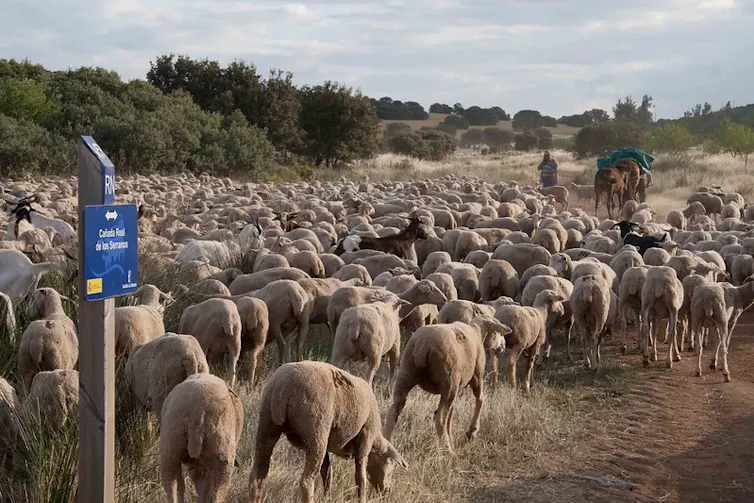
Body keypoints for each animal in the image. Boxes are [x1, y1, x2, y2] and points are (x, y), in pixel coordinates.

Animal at [248, 361, 408, 503]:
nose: (387, 491)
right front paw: (362, 499)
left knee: (257, 476)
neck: (376, 440)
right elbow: (360, 477)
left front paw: (327, 497)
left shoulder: (328, 445)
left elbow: (327, 472)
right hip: (316, 432)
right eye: (390, 465)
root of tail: (282, 388)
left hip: (267, 427)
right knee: (306, 481)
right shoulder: (365, 437)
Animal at [382, 316, 511, 451]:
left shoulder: (458, 387)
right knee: (439, 418)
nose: (503, 346)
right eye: (497, 333)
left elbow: (451, 411)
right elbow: (480, 399)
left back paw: (387, 445)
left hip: (405, 375)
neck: (477, 332)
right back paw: (447, 449)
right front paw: (471, 432)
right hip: (449, 380)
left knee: (394, 412)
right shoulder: (477, 374)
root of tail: (422, 345)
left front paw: (451, 436)